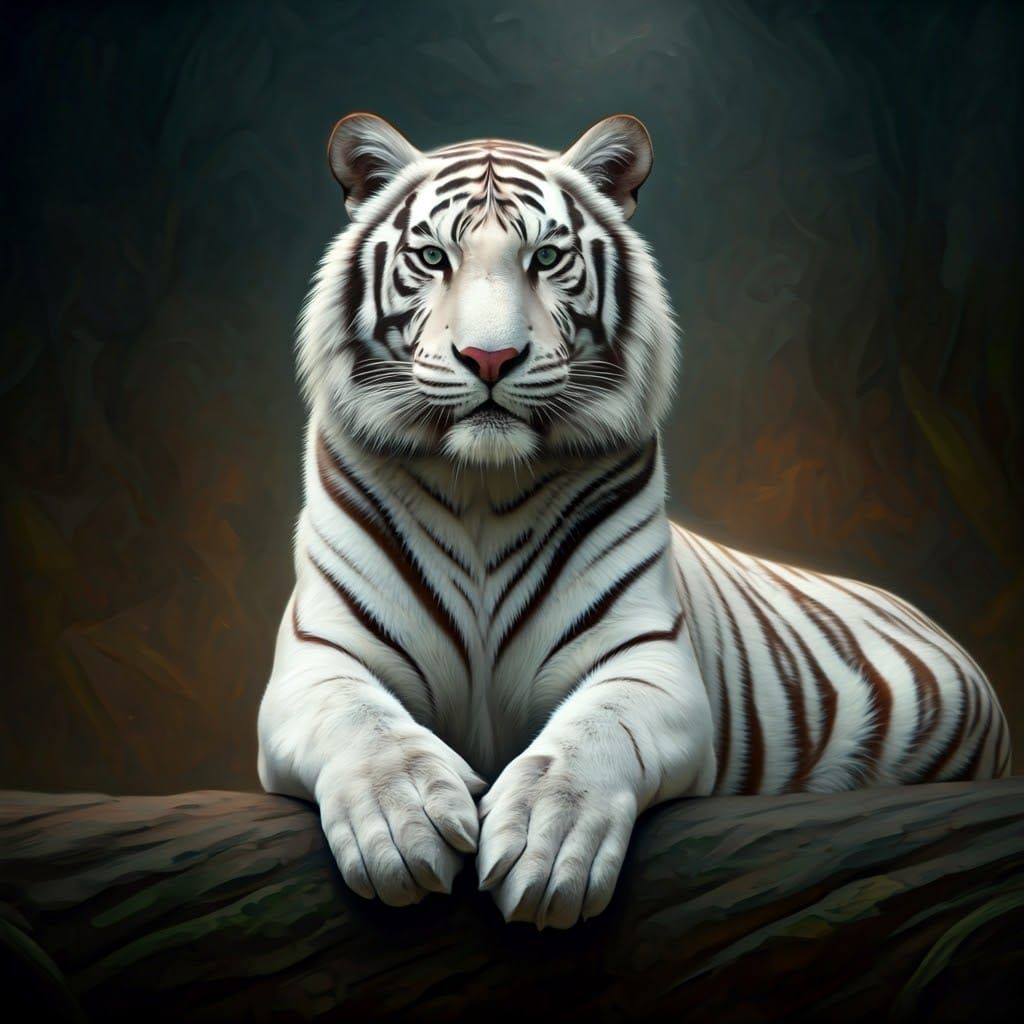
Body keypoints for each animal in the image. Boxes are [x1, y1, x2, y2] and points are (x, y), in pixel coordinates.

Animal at [257, 111, 1012, 931]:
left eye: (547, 257)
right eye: (432, 257)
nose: (490, 358)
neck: (483, 488)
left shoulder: (648, 659)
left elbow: (594, 734)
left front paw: (547, 847)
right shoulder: (319, 656)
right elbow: (364, 725)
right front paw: (406, 828)